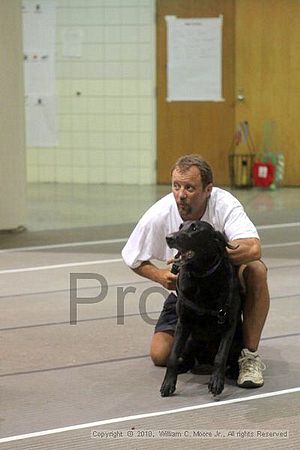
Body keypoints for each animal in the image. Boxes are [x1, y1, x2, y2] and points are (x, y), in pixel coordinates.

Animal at [161, 220, 243, 396]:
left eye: (195, 228)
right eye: (180, 226)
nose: (169, 237)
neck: (202, 277)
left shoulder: (229, 324)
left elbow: (221, 356)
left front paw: (216, 382)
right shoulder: (183, 323)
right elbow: (173, 356)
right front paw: (168, 383)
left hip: (238, 339)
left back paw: (234, 371)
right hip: (189, 341)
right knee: (186, 359)